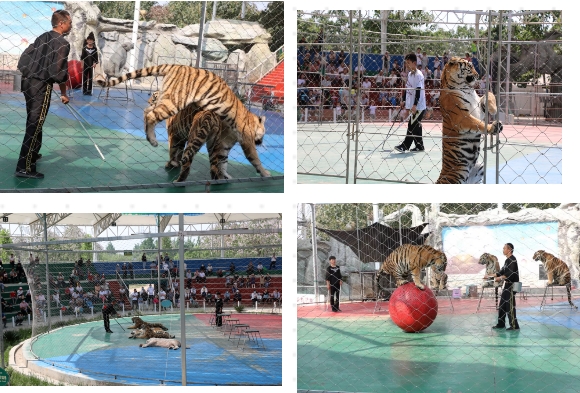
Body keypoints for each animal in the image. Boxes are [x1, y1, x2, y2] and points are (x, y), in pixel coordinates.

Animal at [95, 64, 272, 178]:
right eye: (263, 134)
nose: (261, 142)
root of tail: (176, 65)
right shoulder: (246, 141)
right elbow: (255, 159)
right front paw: (265, 173)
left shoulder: (225, 142)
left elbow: (222, 160)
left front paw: (225, 176)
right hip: (173, 102)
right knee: (150, 115)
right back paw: (152, 140)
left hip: (166, 99)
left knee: (147, 111)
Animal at [436, 56, 502, 184]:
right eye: (470, 66)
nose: (478, 74)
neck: (466, 88)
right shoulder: (462, 117)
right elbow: (478, 124)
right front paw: (493, 127)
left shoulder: (479, 105)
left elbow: (489, 94)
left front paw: (493, 109)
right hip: (458, 173)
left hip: (479, 167)